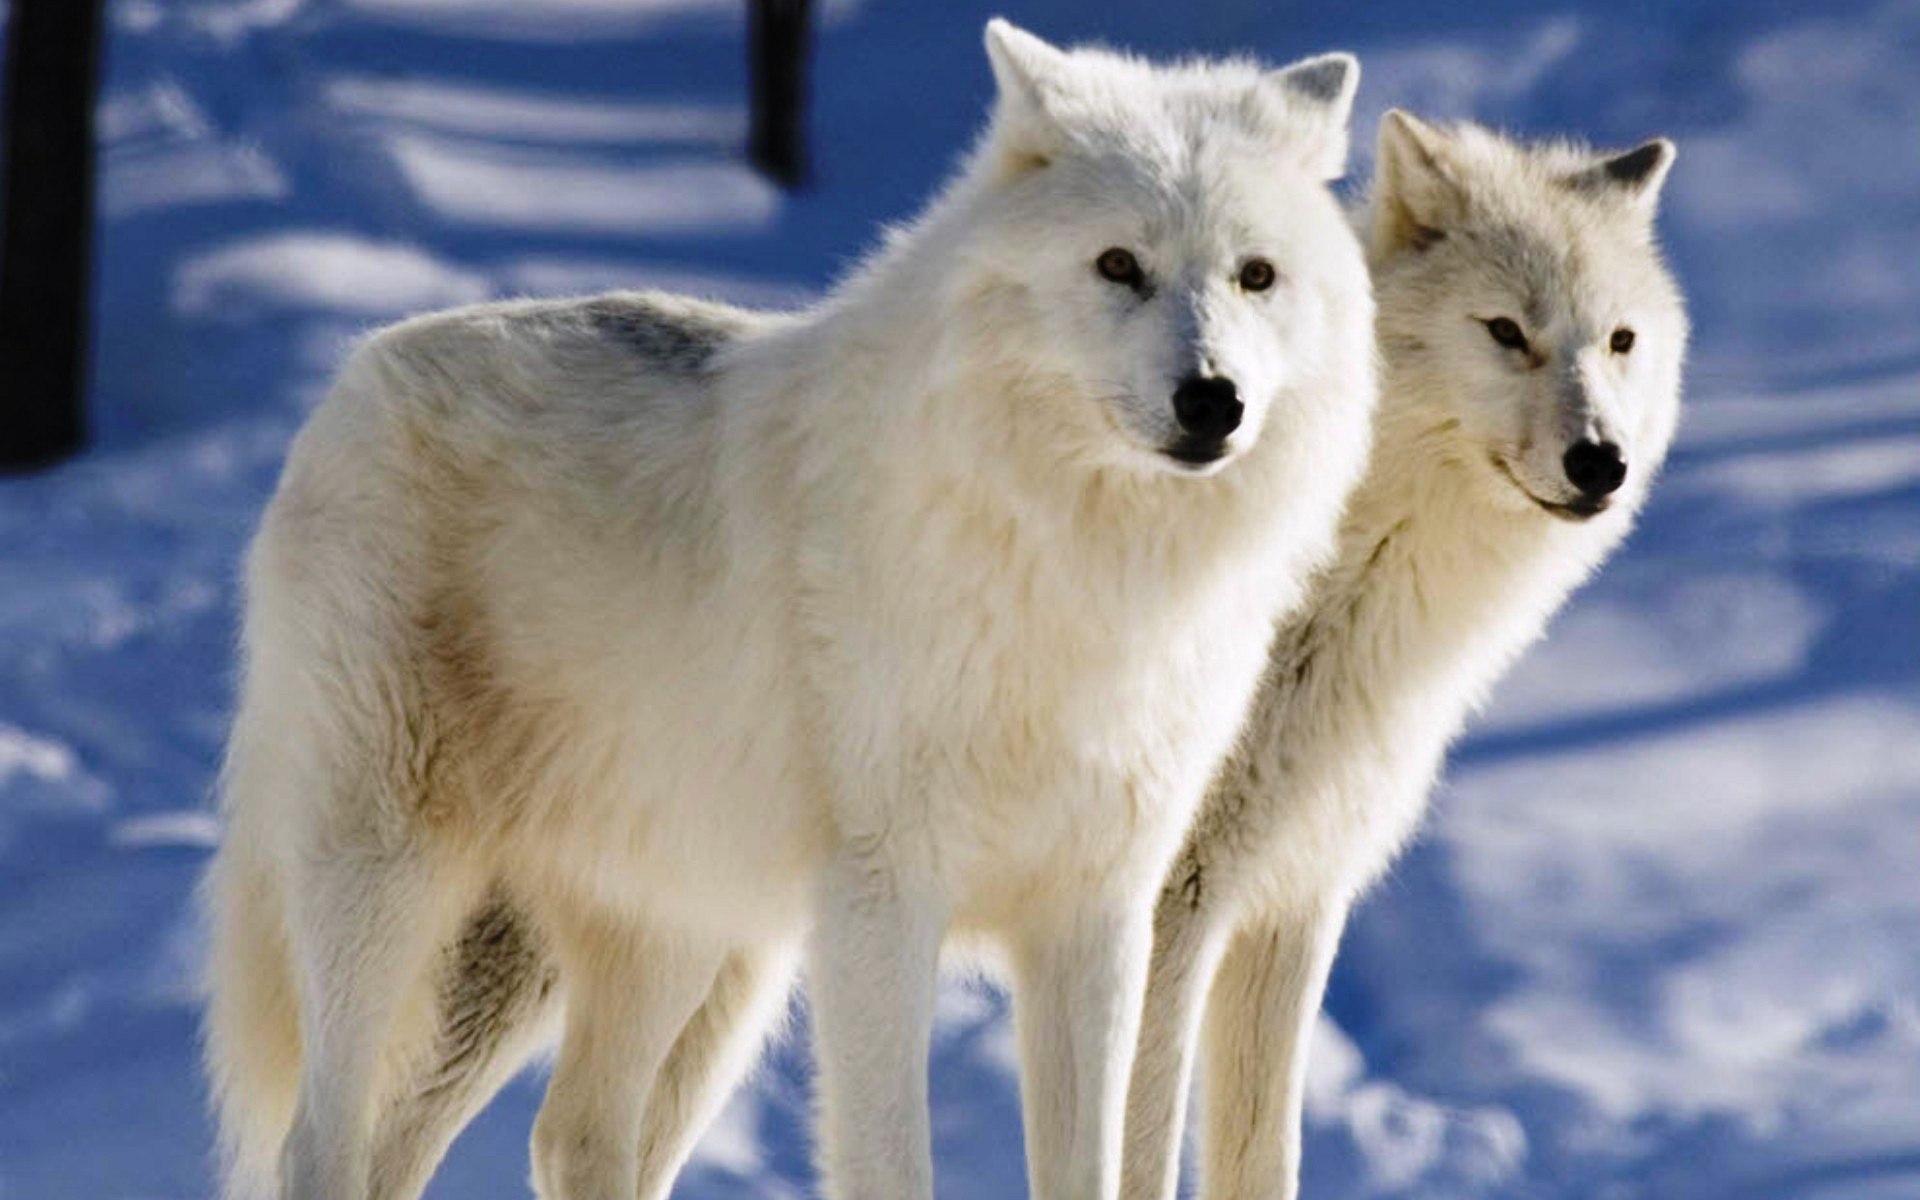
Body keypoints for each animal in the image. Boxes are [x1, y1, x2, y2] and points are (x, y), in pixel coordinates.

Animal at [1121, 112, 1689, 1198]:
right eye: (1505, 331)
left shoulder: (1291, 900)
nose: (1602, 462)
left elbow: (1264, 1157)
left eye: (1619, 340)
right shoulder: (1166, 909)